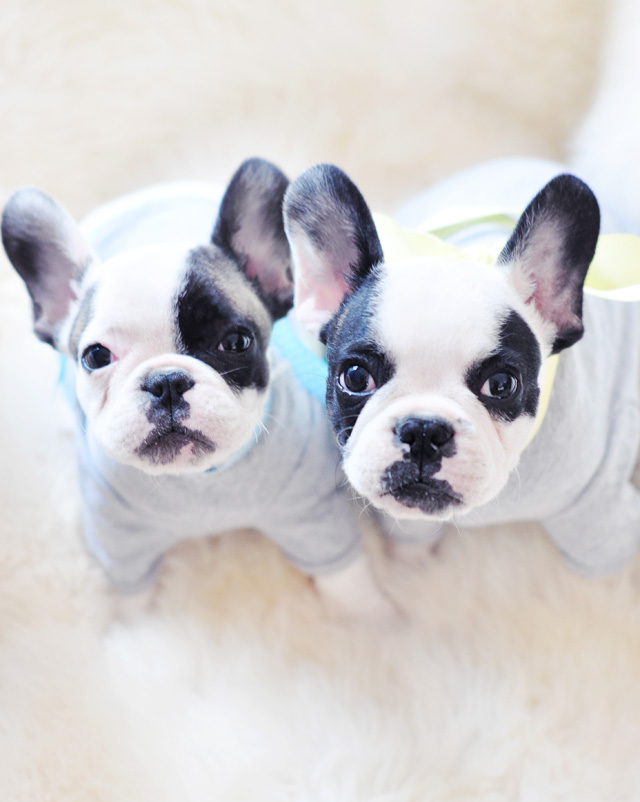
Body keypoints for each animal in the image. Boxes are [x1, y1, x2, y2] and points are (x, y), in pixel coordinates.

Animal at [2, 159, 390, 616]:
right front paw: (135, 628)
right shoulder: (119, 542)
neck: (198, 480)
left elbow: (346, 581)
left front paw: (375, 619)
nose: (166, 382)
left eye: (236, 342)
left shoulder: (314, 515)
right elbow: (133, 602)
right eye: (95, 356)